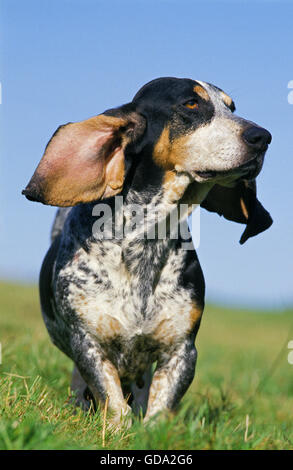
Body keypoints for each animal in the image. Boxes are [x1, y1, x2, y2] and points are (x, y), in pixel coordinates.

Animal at [22, 78, 272, 426]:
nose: (263, 137)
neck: (145, 244)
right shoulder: (88, 343)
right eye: (191, 104)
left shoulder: (182, 350)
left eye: (231, 108)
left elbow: (159, 409)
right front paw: (117, 427)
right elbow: (112, 400)